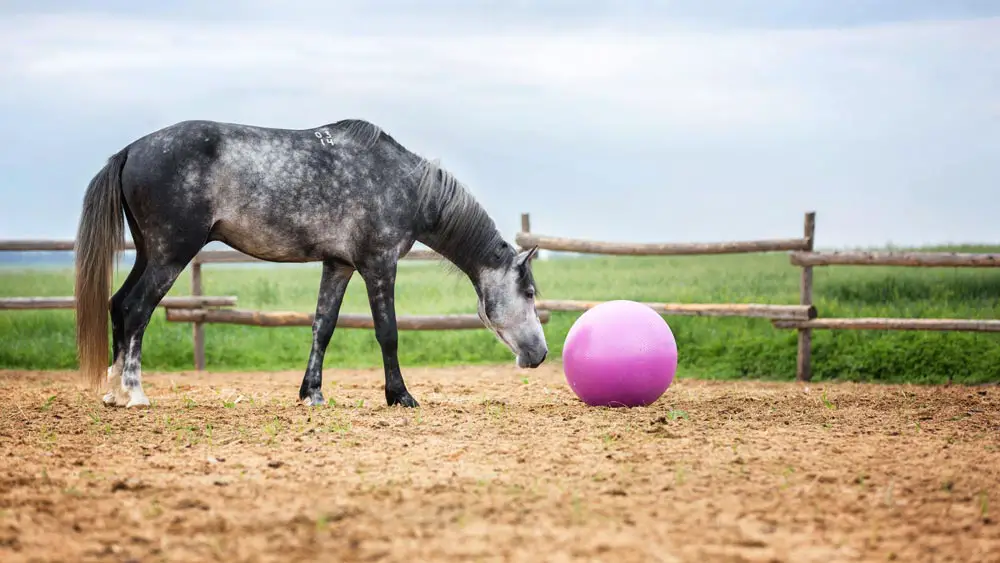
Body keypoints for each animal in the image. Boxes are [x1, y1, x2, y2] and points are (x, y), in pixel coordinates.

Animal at [72, 119, 548, 410]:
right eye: (528, 292)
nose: (541, 354)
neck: (405, 185)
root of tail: (131, 150)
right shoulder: (379, 265)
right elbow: (388, 333)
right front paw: (400, 396)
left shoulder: (337, 264)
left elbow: (323, 325)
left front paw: (311, 394)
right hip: (171, 254)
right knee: (137, 309)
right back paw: (134, 393)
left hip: (149, 252)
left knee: (119, 305)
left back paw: (113, 394)